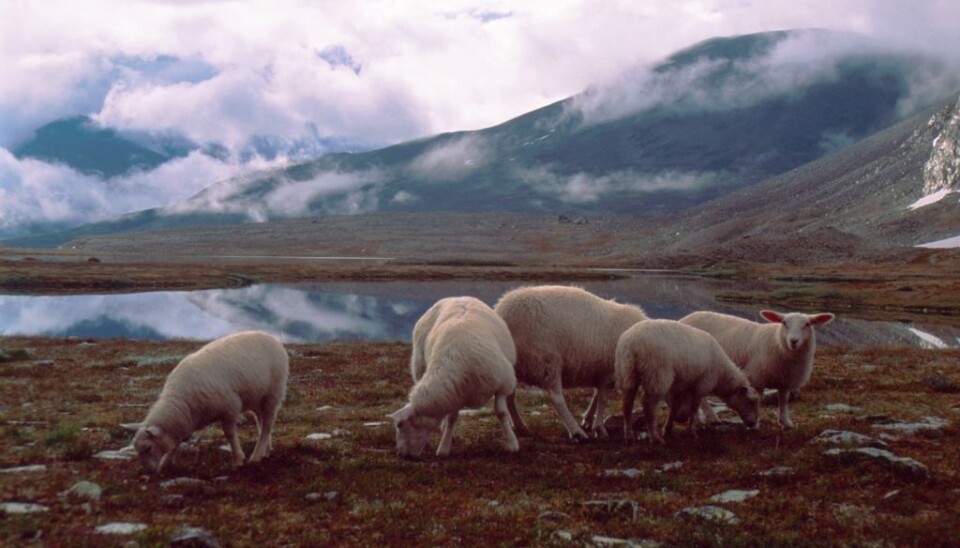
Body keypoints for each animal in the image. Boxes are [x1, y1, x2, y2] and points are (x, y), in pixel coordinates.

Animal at [132, 331, 289, 473]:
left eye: (148, 448)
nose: (149, 471)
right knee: (261, 421)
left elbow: (230, 435)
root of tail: (272, 338)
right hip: (256, 398)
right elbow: (177, 441)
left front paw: (238, 459)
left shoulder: (229, 407)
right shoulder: (186, 420)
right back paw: (266, 450)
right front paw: (165, 463)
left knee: (267, 424)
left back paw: (256, 455)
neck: (182, 401)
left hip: (272, 393)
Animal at [389, 296, 519, 458]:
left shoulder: (503, 384)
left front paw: (512, 443)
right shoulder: (455, 390)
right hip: (419, 366)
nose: (402, 454)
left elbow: (501, 412)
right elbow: (452, 418)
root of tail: (459, 297)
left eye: (400, 425)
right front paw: (444, 447)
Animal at [493, 285, 648, 440]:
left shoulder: (601, 371)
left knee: (510, 397)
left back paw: (520, 426)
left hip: (516, 367)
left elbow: (596, 395)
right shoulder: (610, 372)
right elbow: (602, 398)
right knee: (557, 399)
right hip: (547, 360)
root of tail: (502, 312)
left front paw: (588, 419)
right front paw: (599, 427)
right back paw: (576, 432)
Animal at [615, 319, 761, 444]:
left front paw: (668, 428)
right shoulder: (701, 385)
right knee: (648, 406)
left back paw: (629, 435)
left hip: (626, 372)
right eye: (750, 401)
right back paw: (655, 438)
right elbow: (694, 408)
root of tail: (633, 342)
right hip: (657, 375)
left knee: (627, 404)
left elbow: (674, 407)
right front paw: (691, 431)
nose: (753, 424)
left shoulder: (679, 386)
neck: (722, 375)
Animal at [679, 309, 834, 430]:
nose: (793, 341)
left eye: (807, 324)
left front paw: (785, 422)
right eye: (784, 323)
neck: (777, 343)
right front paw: (756, 424)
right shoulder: (756, 377)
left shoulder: (785, 379)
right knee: (701, 396)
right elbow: (757, 399)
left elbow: (783, 400)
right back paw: (711, 417)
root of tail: (684, 319)